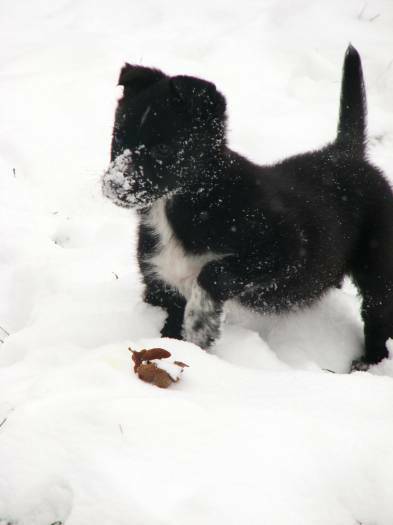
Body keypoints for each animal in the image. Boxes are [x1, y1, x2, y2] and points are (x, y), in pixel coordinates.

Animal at [102, 48, 392, 368]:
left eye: (164, 149)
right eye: (118, 137)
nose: (114, 184)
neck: (183, 206)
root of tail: (345, 152)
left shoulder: (286, 247)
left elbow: (214, 271)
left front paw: (201, 322)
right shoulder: (159, 282)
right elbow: (169, 328)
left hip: (378, 262)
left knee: (377, 312)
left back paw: (369, 361)